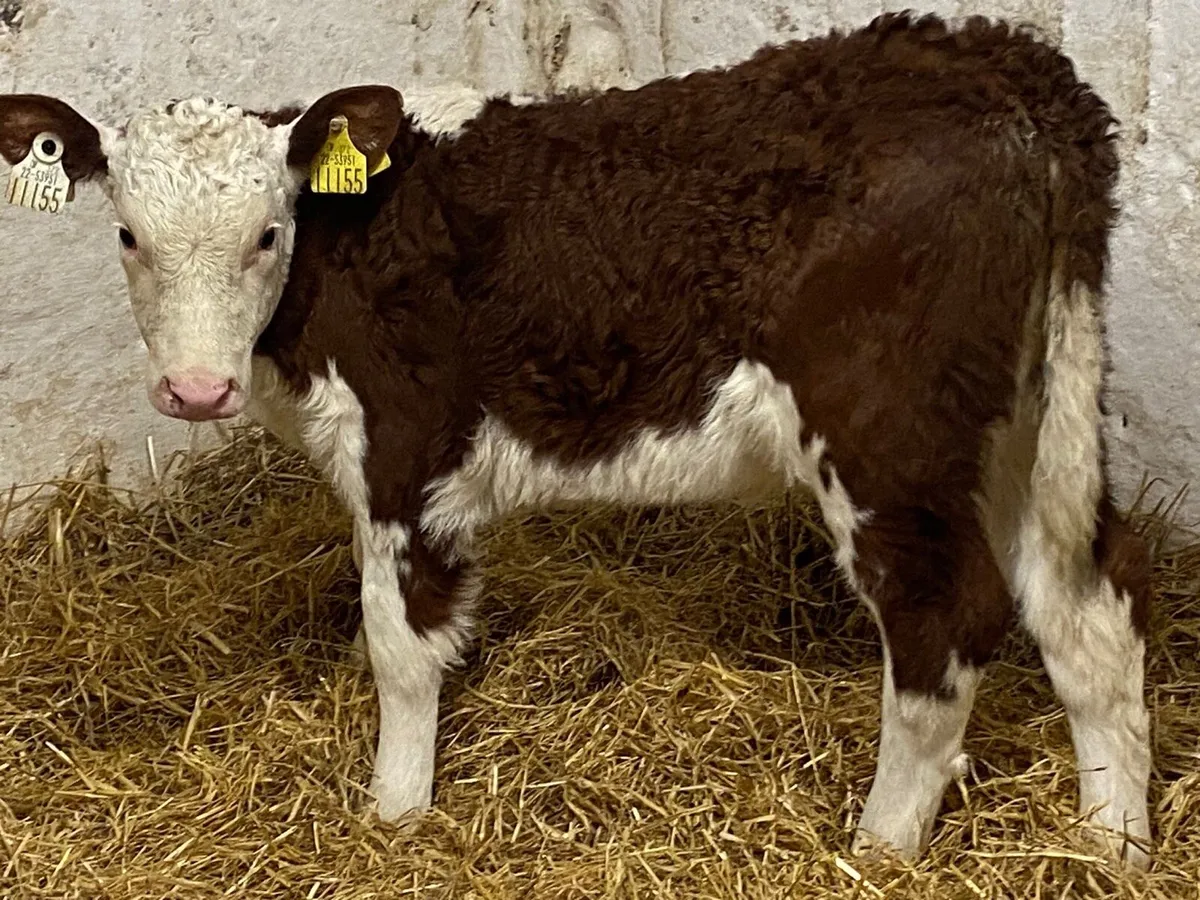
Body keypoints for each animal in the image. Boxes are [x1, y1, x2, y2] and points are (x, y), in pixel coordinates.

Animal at [0, 12, 1155, 867]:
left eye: (267, 233)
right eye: (127, 235)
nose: (195, 390)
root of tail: (1007, 65)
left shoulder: (407, 451)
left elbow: (400, 648)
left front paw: (394, 817)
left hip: (886, 435)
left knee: (943, 624)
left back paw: (877, 850)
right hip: (1034, 414)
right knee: (1088, 610)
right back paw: (1112, 845)